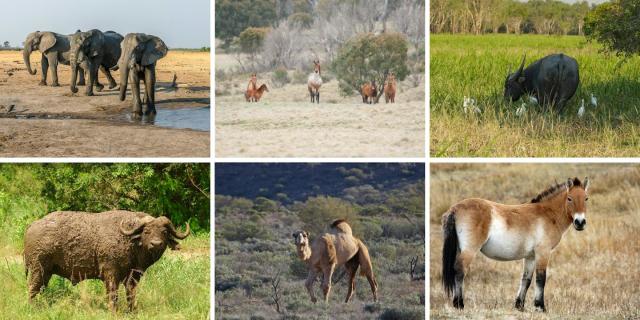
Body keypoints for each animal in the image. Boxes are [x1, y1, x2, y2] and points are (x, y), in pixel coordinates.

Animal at [25, 211, 190, 312]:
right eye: (146, 231)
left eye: (164, 232)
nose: (156, 244)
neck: (129, 241)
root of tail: (31, 226)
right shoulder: (111, 274)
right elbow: (112, 295)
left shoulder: (133, 277)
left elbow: (131, 295)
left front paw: (132, 311)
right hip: (38, 269)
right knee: (32, 289)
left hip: (46, 273)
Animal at [440, 176, 592, 312]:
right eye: (569, 198)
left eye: (586, 198)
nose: (580, 222)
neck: (548, 214)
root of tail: (455, 209)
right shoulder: (543, 253)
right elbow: (541, 279)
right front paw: (540, 307)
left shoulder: (530, 256)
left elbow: (526, 279)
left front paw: (520, 306)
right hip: (469, 250)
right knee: (460, 270)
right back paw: (459, 304)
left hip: (460, 249)